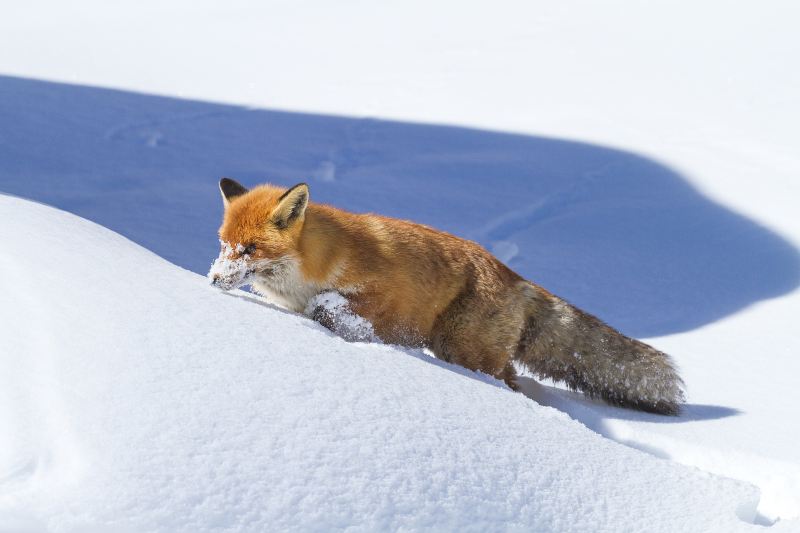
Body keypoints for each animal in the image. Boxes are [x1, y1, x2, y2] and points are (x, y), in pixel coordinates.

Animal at [209, 177, 684, 414]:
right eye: (224, 244)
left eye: (251, 249)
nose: (212, 280)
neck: (316, 264)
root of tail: (518, 278)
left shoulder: (381, 294)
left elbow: (329, 309)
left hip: (462, 348)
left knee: (510, 381)